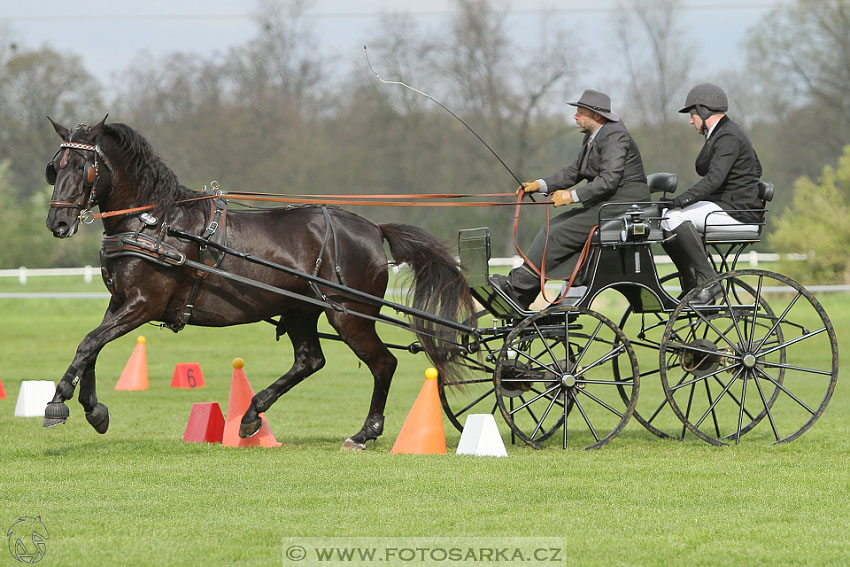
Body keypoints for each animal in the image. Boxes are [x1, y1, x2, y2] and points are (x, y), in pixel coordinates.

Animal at [43, 117, 474, 450]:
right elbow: (92, 346)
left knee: (384, 363)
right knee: (310, 360)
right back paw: (251, 414)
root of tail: (372, 228)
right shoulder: (120, 302)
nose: (57, 223)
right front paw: (94, 410)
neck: (155, 223)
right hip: (302, 309)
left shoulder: (143, 303)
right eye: (55, 167)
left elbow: (89, 343)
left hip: (349, 314)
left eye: (82, 166)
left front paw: (58, 401)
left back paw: (364, 433)